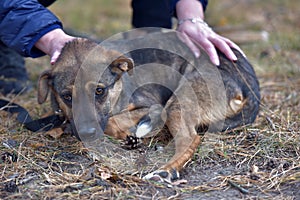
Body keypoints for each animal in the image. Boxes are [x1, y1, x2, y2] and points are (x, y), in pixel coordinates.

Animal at [37, 30, 258, 181]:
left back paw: (166, 170)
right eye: (67, 96)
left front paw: (135, 130)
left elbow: (113, 120)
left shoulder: (152, 104)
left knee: (190, 138)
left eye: (99, 91)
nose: (87, 133)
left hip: (178, 101)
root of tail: (250, 86)